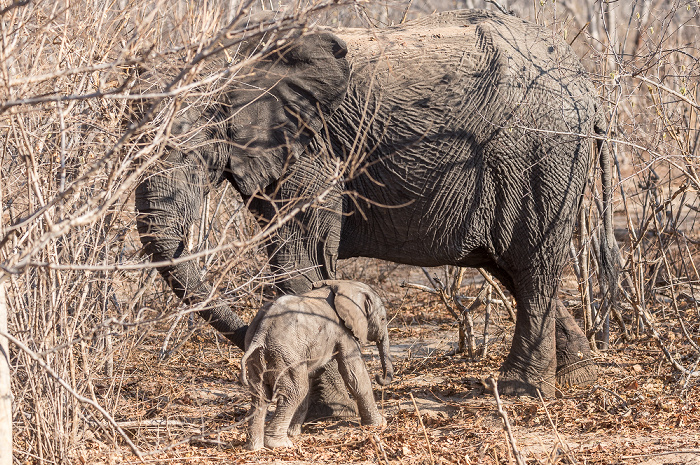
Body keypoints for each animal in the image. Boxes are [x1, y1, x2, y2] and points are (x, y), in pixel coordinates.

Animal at [135, 10, 616, 402]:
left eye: (188, 154)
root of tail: (589, 91)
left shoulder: (315, 150)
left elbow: (300, 256)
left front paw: (326, 404)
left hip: (541, 156)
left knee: (533, 267)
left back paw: (519, 389)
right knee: (509, 266)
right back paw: (577, 377)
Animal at [241, 280, 394, 450]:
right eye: (383, 319)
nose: (380, 376)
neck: (343, 284)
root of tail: (262, 330)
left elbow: (312, 375)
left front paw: (294, 433)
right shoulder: (343, 331)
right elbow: (353, 370)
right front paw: (379, 424)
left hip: (258, 354)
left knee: (260, 395)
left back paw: (254, 447)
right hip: (285, 353)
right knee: (295, 391)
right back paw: (280, 444)